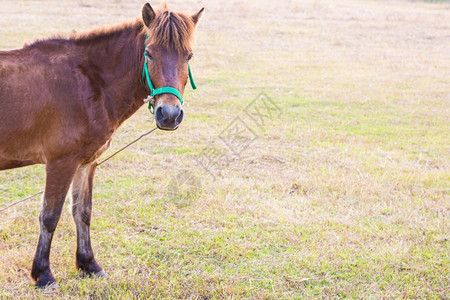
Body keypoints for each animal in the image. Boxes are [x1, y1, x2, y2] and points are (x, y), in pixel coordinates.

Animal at [0, 2, 204, 288]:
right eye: (149, 55)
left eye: (189, 56)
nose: (169, 115)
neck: (86, 82)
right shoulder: (61, 163)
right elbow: (49, 216)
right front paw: (43, 274)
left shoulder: (86, 163)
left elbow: (82, 212)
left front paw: (89, 264)